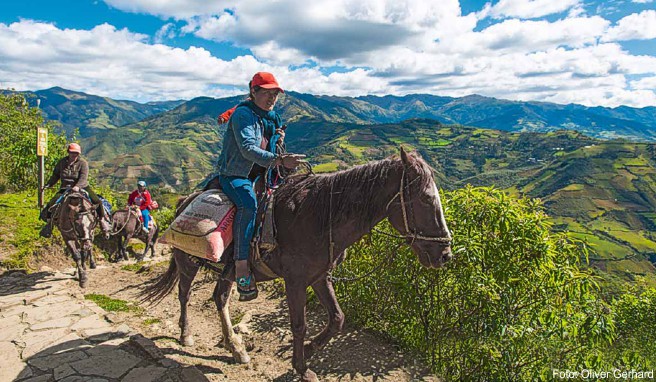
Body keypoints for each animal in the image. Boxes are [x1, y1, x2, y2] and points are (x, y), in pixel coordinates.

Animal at [142, 148, 454, 380]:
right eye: (426, 199)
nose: (445, 254)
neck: (319, 216)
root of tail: (184, 202)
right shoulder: (295, 281)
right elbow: (299, 324)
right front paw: (302, 367)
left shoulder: (320, 277)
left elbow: (337, 319)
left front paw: (310, 349)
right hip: (187, 261)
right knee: (184, 294)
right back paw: (186, 335)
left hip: (228, 271)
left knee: (219, 298)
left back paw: (236, 348)